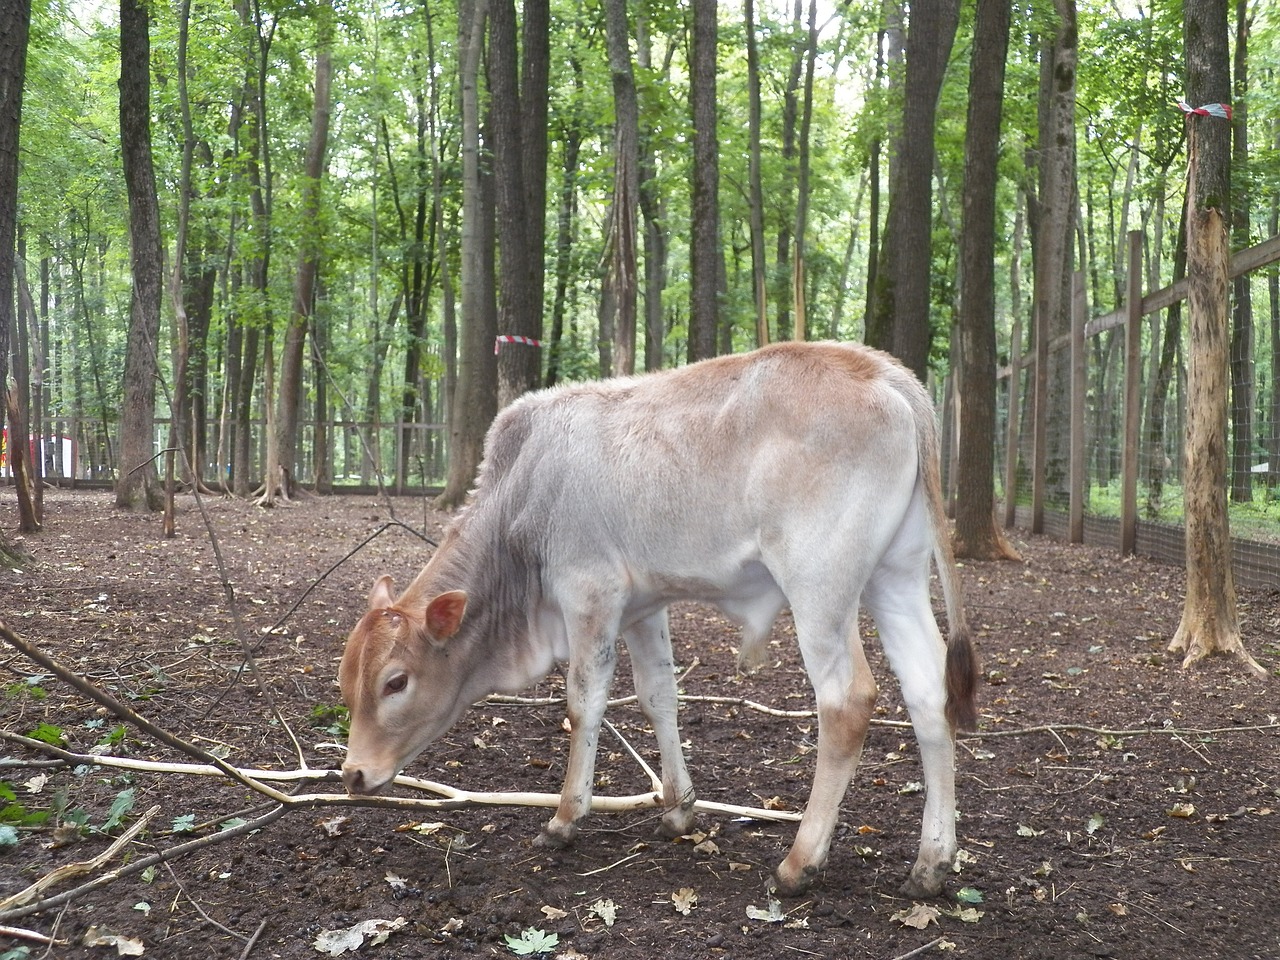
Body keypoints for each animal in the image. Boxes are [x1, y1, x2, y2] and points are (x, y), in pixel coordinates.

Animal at [340, 343, 977, 901]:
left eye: (396, 682)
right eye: (347, 686)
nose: (352, 775)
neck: (523, 501)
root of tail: (883, 371)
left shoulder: (589, 593)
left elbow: (584, 703)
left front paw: (565, 818)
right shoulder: (643, 607)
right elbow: (659, 695)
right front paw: (678, 809)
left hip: (821, 588)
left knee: (846, 702)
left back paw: (800, 862)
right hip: (895, 575)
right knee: (928, 693)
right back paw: (930, 864)